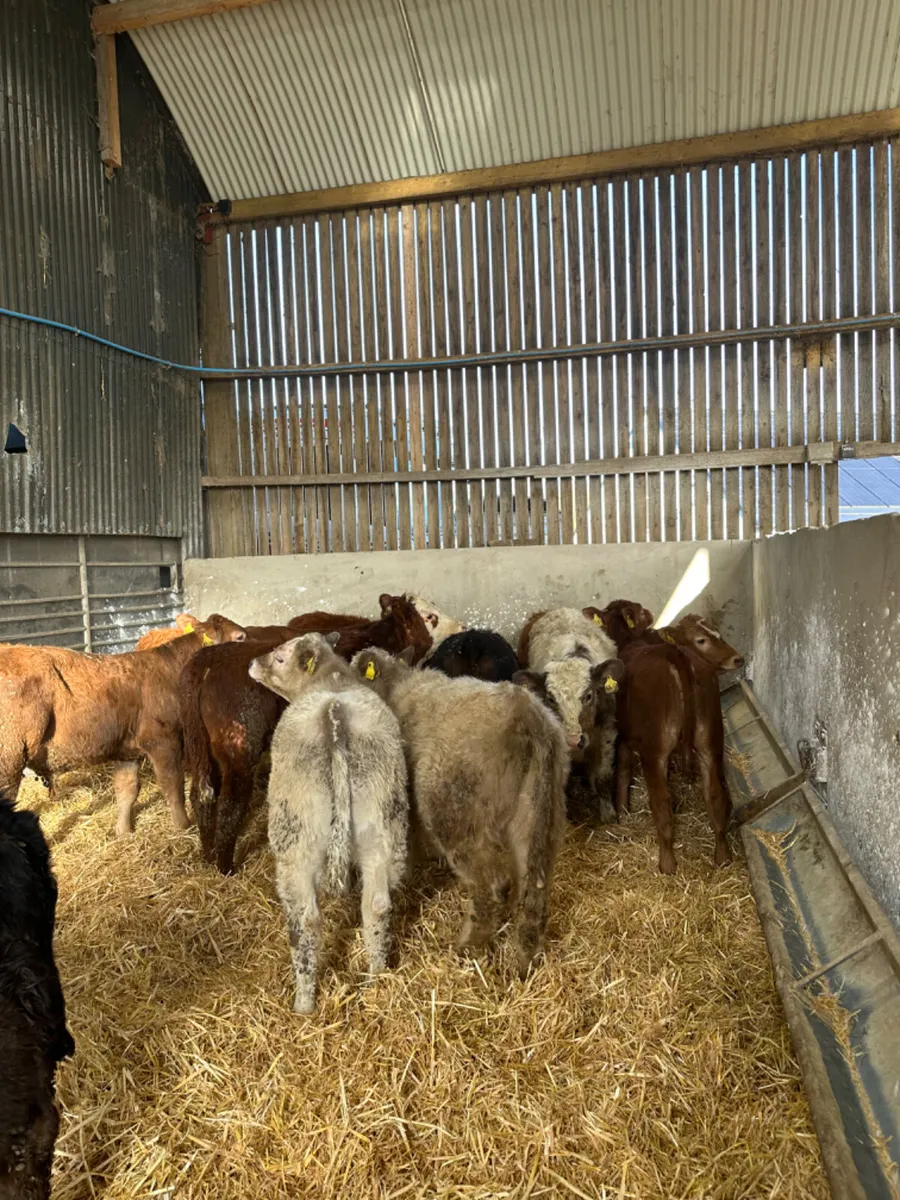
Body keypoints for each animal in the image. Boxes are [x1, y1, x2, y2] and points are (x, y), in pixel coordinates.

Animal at [0, 615, 246, 838]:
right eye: (240, 638)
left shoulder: (127, 750)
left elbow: (126, 790)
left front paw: (123, 831)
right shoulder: (163, 739)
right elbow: (172, 785)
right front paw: (184, 826)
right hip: (9, 760)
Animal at [181, 595, 432, 875]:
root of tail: (207, 659)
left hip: (202, 749)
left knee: (201, 795)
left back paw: (209, 855)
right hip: (239, 747)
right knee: (229, 803)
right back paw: (225, 867)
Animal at [249, 634, 408, 1013]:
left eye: (280, 658)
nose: (252, 663)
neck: (332, 679)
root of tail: (335, 711)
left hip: (296, 844)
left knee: (305, 919)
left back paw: (304, 1002)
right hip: (383, 830)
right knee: (376, 905)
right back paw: (377, 979)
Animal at [354, 647, 568, 977]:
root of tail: (526, 714)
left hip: (458, 821)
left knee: (492, 886)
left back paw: (467, 948)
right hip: (539, 820)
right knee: (534, 891)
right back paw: (525, 962)